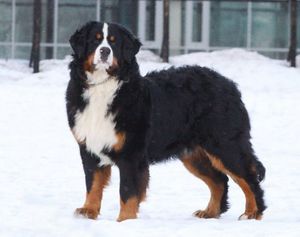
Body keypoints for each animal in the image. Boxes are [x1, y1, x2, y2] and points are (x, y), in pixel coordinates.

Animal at [67, 21, 266, 221]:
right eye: (95, 40)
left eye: (114, 42)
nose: (105, 51)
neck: (103, 87)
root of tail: (229, 85)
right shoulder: (89, 148)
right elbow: (93, 184)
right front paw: (88, 211)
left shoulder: (132, 153)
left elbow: (128, 191)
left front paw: (125, 220)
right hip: (193, 154)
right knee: (220, 181)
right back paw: (209, 212)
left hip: (225, 145)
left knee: (249, 177)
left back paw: (252, 213)